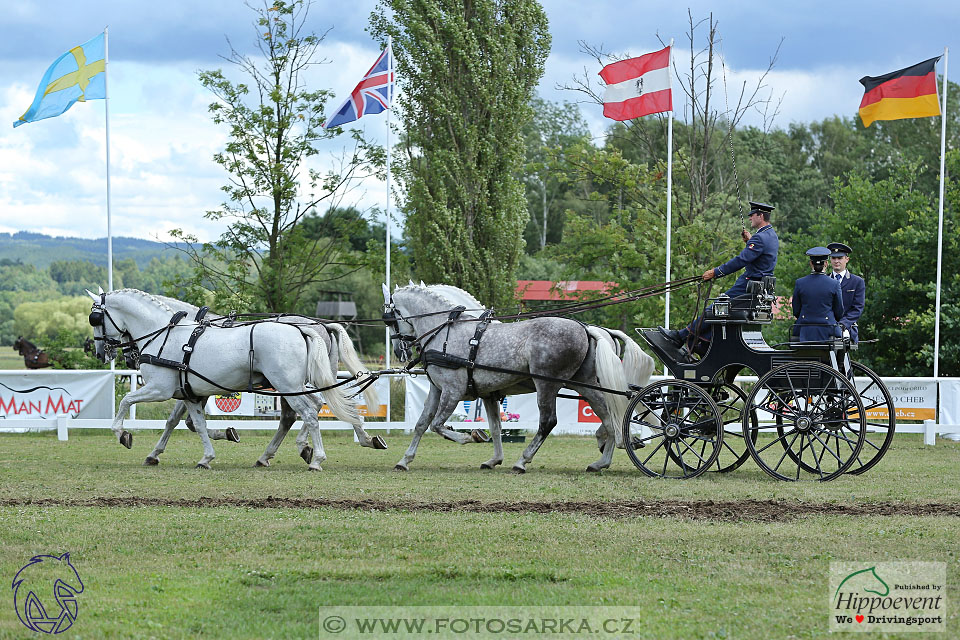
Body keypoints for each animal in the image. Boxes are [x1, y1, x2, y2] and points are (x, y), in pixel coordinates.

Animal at [85, 290, 376, 470]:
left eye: (95, 318)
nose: (102, 352)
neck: (166, 334)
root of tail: (306, 329)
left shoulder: (160, 389)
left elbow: (126, 401)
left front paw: (123, 434)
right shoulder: (190, 394)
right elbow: (194, 424)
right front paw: (207, 455)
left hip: (288, 385)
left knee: (309, 414)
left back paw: (316, 458)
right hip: (294, 385)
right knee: (311, 410)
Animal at [380, 282, 652, 472]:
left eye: (389, 320)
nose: (400, 351)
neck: (447, 331)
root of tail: (585, 328)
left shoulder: (452, 390)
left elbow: (437, 425)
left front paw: (468, 437)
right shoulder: (449, 390)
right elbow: (425, 423)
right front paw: (405, 460)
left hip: (547, 384)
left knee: (548, 422)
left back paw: (523, 461)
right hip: (585, 384)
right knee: (608, 414)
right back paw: (601, 462)